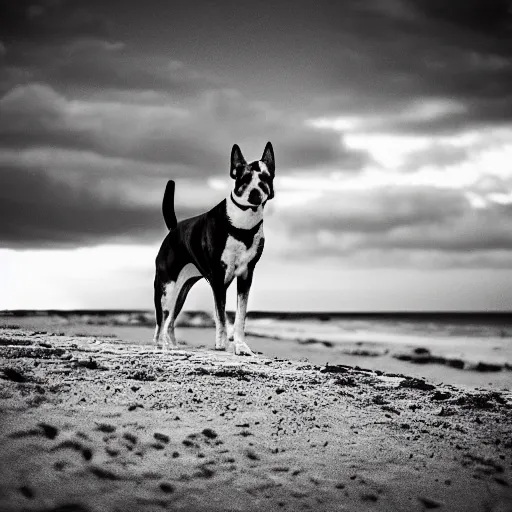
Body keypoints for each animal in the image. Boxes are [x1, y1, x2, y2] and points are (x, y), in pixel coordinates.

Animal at [154, 142, 276, 354]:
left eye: (265, 178)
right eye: (244, 178)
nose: (255, 193)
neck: (242, 223)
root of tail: (173, 229)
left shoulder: (246, 275)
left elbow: (240, 317)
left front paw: (241, 346)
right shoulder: (219, 278)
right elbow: (221, 315)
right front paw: (222, 345)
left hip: (182, 291)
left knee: (170, 320)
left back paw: (173, 345)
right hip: (166, 287)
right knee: (162, 320)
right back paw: (163, 345)